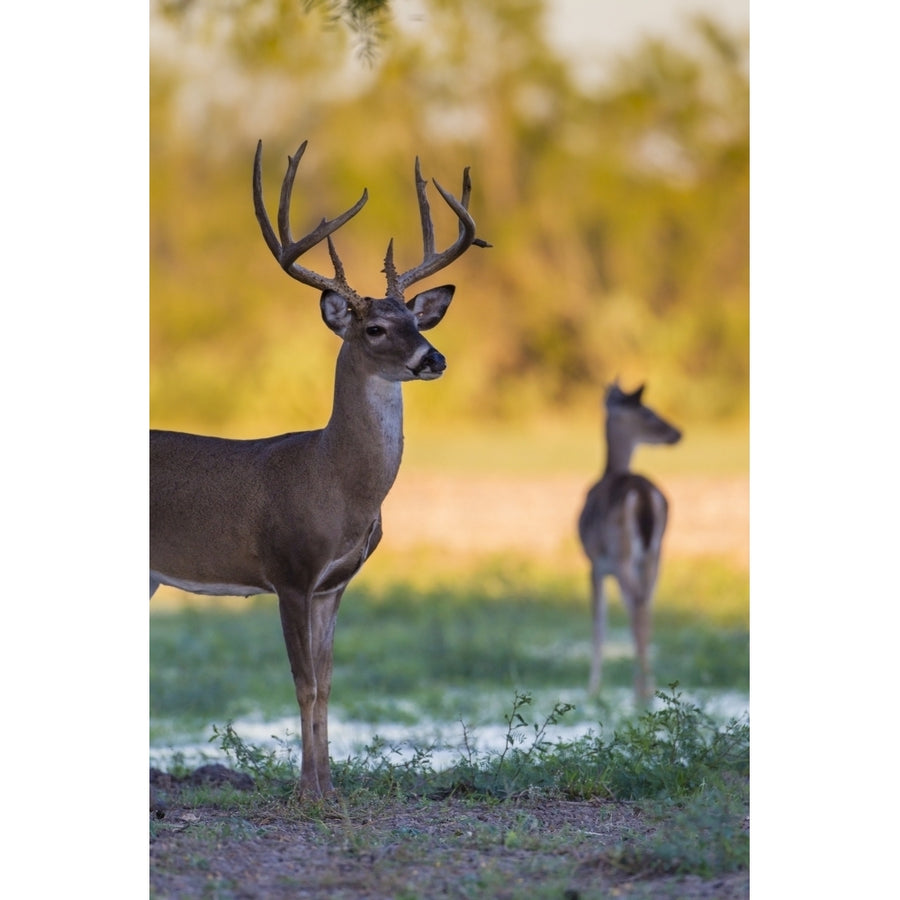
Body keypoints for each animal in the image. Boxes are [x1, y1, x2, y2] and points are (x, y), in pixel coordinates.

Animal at [151, 137, 488, 800]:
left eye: (418, 320)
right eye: (376, 327)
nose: (433, 358)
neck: (336, 483)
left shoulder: (335, 583)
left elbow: (329, 684)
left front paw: (330, 787)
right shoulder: (288, 570)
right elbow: (302, 682)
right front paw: (306, 791)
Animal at [580, 384, 680, 700]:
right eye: (648, 411)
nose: (676, 433)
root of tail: (644, 495)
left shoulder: (595, 563)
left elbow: (599, 624)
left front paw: (593, 689)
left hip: (621, 553)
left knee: (637, 604)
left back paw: (641, 691)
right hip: (654, 554)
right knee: (645, 606)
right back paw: (647, 687)